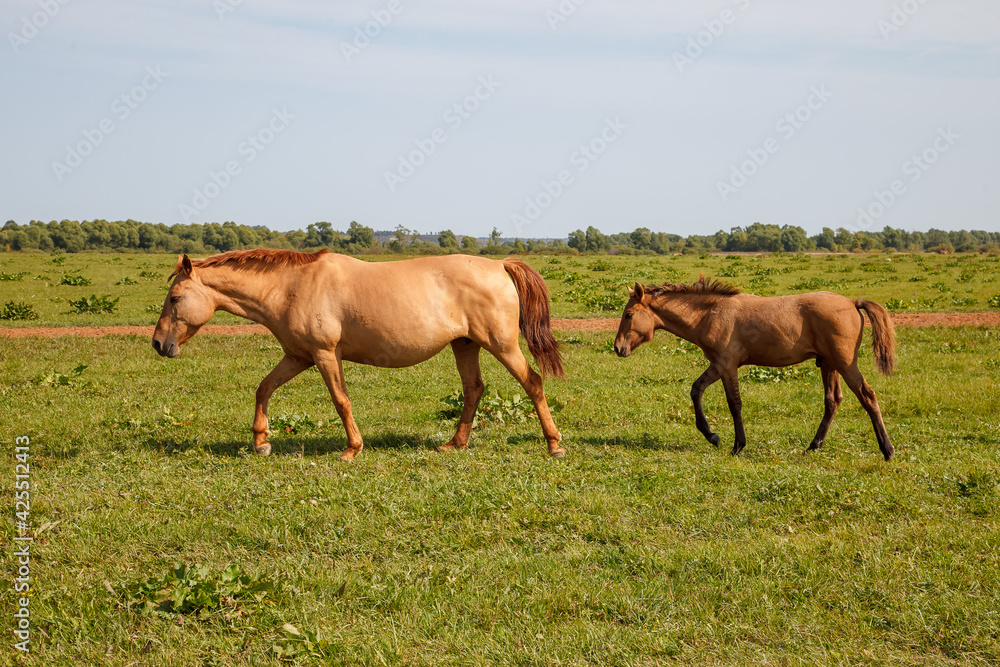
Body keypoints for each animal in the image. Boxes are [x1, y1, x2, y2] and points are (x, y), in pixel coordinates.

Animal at [151, 249, 566, 461]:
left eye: (175, 298)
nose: (158, 344)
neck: (291, 286)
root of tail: (499, 265)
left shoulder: (324, 355)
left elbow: (341, 401)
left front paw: (351, 449)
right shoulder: (298, 357)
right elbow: (263, 389)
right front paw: (261, 442)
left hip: (502, 345)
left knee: (532, 382)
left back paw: (554, 444)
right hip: (465, 344)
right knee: (473, 390)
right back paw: (455, 444)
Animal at [613, 276, 897, 460]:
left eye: (629, 315)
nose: (617, 348)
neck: (710, 313)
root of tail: (852, 302)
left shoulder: (727, 366)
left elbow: (734, 404)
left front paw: (738, 445)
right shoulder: (717, 365)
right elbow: (696, 390)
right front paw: (711, 435)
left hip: (845, 364)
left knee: (868, 396)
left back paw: (887, 449)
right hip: (828, 365)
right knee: (833, 401)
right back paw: (813, 446)